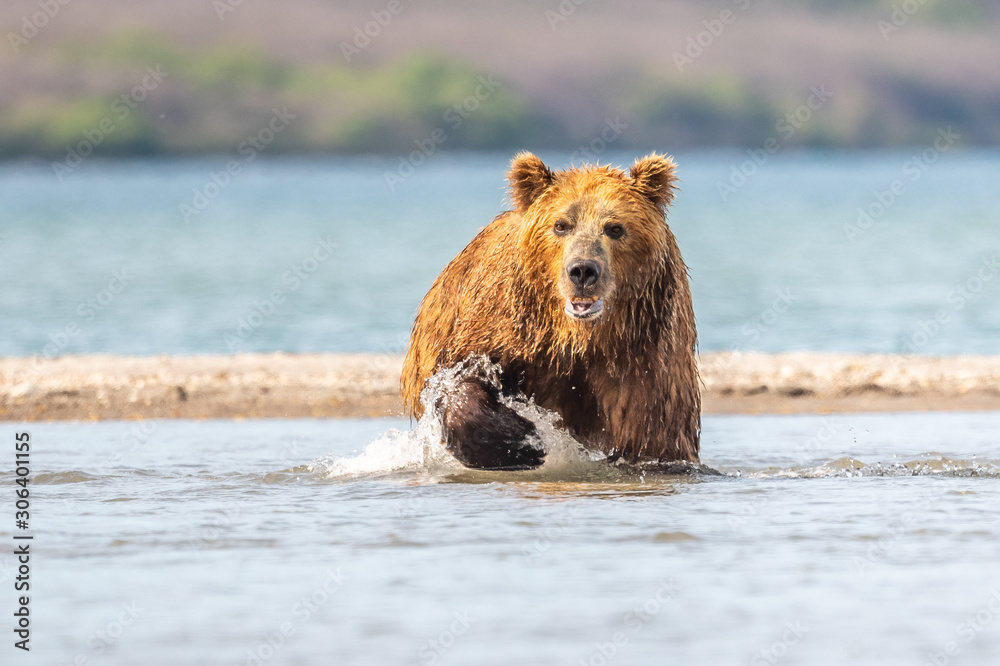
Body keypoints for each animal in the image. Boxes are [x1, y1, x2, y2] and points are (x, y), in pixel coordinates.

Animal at [400, 152, 700, 470]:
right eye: (561, 225)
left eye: (615, 228)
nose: (583, 271)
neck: (576, 337)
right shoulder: (501, 326)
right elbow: (457, 375)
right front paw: (520, 442)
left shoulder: (646, 355)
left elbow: (655, 435)